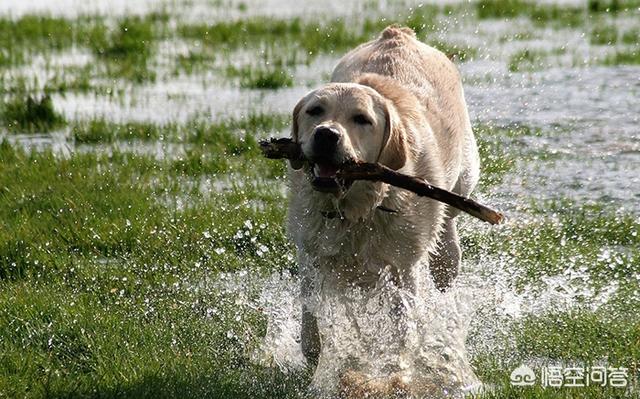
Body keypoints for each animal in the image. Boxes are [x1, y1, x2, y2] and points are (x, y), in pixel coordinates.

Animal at [286, 25, 480, 390]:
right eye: (315, 111)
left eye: (361, 119)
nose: (326, 135)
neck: (358, 209)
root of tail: (398, 33)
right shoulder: (313, 253)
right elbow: (311, 314)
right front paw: (317, 357)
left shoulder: (401, 267)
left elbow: (403, 328)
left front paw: (397, 369)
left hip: (461, 182)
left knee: (448, 233)